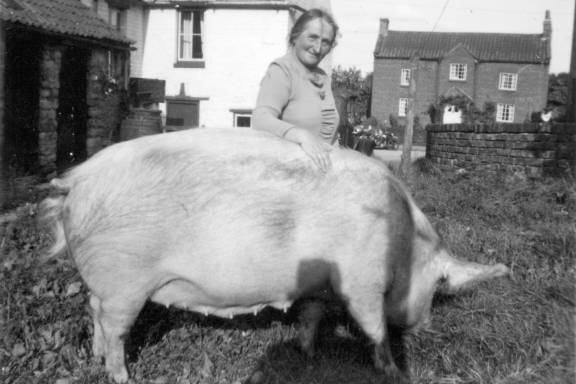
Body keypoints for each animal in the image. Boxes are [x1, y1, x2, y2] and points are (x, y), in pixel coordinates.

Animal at [40, 127, 508, 382]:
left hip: (105, 283)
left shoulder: (320, 282)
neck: (404, 243)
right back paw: (121, 375)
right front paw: (392, 371)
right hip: (124, 280)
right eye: (440, 283)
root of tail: (74, 183)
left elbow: (311, 315)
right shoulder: (361, 281)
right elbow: (373, 326)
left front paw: (307, 355)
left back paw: (97, 359)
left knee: (94, 313)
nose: (427, 327)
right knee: (115, 328)